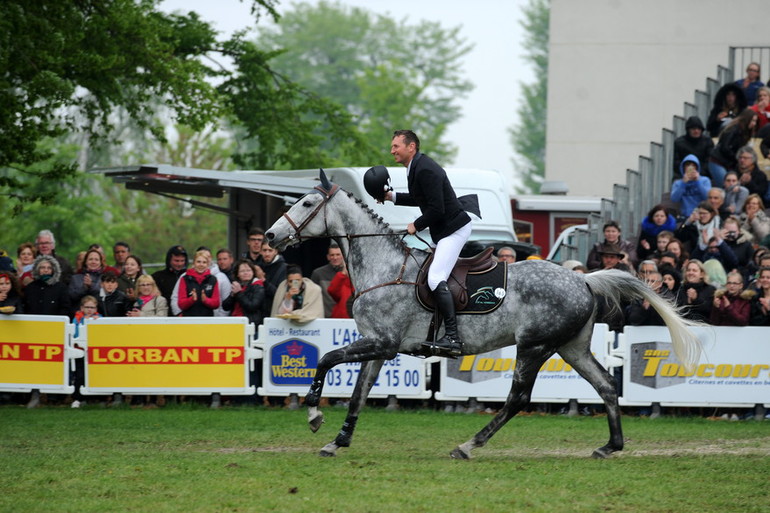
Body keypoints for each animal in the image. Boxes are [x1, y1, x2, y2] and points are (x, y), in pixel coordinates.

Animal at [266, 170, 704, 458]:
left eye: (307, 203)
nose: (270, 235)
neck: (384, 267)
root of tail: (582, 280)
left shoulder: (381, 343)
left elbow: (326, 359)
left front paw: (313, 415)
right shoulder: (379, 346)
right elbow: (358, 394)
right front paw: (337, 441)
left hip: (534, 347)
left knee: (518, 398)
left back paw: (468, 445)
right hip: (571, 348)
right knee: (607, 386)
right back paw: (611, 446)